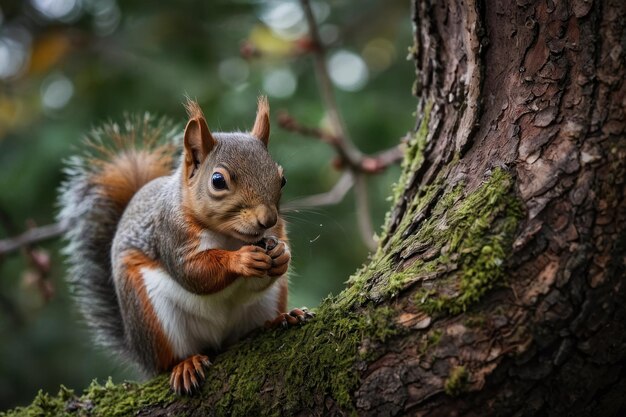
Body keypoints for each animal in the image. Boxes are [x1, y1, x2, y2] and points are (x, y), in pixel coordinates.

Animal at [59, 96, 312, 394]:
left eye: (281, 179)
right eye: (218, 181)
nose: (267, 219)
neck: (229, 237)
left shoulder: (274, 232)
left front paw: (282, 255)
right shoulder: (171, 234)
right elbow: (194, 274)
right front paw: (241, 260)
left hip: (266, 302)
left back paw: (280, 319)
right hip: (151, 313)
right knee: (169, 358)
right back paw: (185, 365)